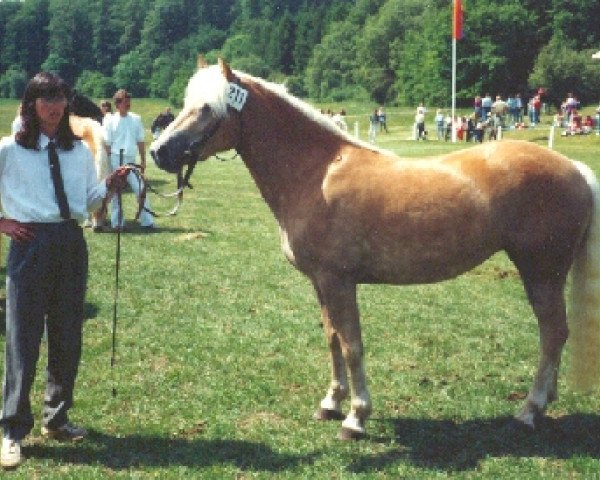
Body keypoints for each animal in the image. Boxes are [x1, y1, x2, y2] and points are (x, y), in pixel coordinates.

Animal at [150, 58, 600, 440]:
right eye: (187, 104)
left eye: (207, 108)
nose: (158, 152)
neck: (316, 173)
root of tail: (575, 169)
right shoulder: (321, 283)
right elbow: (332, 338)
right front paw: (330, 403)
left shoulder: (339, 281)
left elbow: (352, 346)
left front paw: (356, 417)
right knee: (554, 334)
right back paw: (545, 402)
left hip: (541, 271)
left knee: (553, 332)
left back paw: (529, 410)